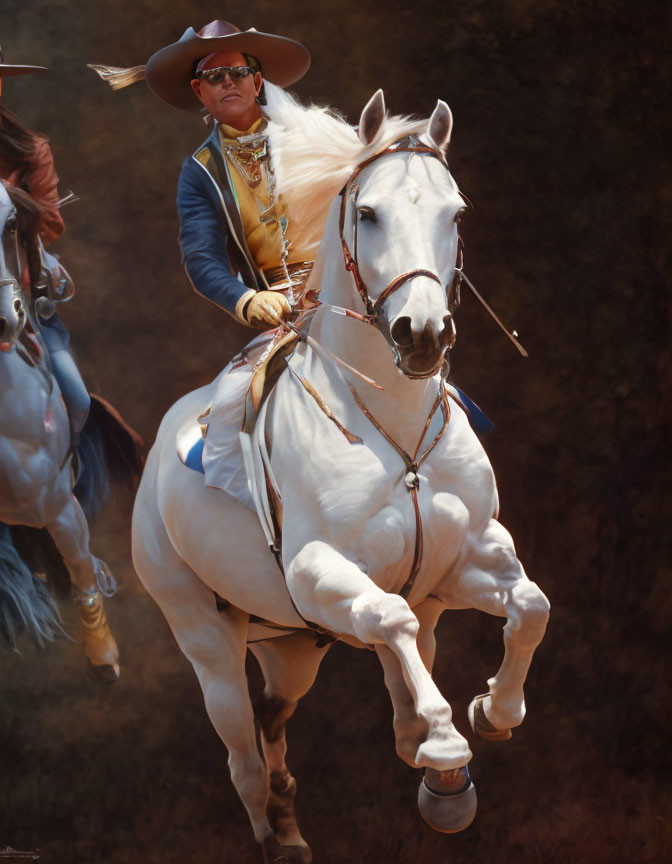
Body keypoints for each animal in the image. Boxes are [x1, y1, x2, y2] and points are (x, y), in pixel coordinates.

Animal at [133, 89, 552, 864]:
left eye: (456, 213)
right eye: (369, 213)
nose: (423, 334)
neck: (397, 431)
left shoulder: (467, 557)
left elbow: (529, 605)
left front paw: (492, 710)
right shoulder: (317, 571)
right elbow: (393, 618)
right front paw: (445, 743)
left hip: (295, 646)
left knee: (282, 713)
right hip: (205, 635)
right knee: (242, 749)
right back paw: (278, 834)